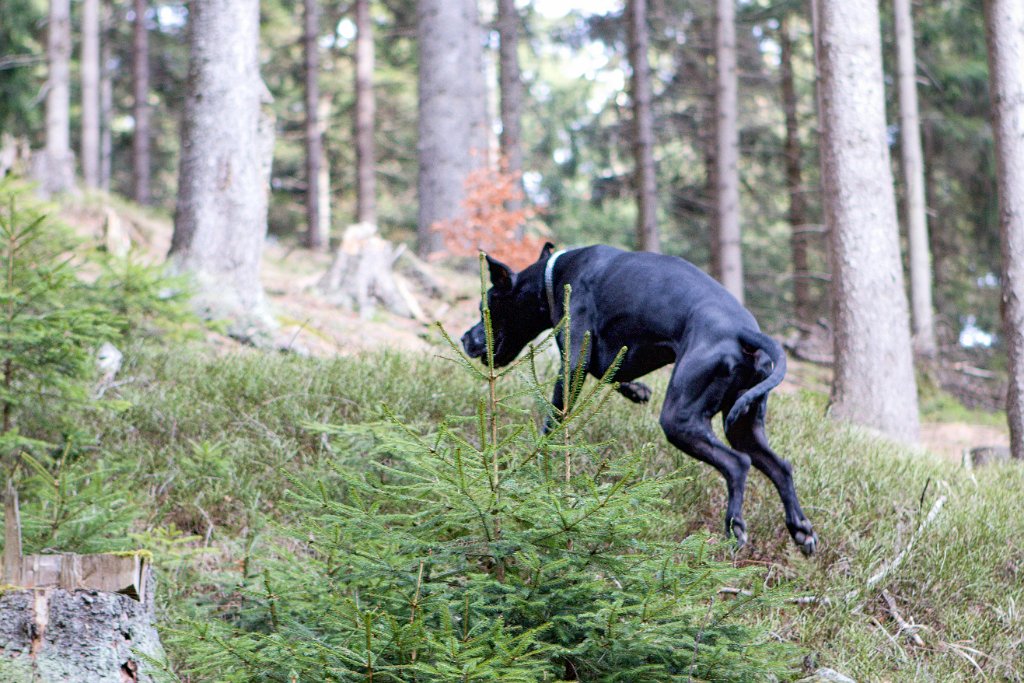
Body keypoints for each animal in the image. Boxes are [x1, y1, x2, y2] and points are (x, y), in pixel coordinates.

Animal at [462, 244, 815, 557]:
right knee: (780, 467)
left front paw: (539, 459)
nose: (465, 338)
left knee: (738, 463)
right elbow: (612, 372)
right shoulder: (614, 356)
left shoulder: (574, 361)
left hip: (680, 419)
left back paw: (735, 527)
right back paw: (801, 530)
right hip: (743, 424)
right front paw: (637, 390)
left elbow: (555, 417)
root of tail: (744, 331)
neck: (553, 276)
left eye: (484, 307)